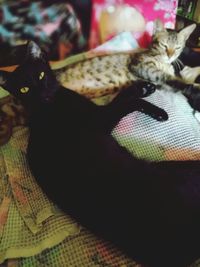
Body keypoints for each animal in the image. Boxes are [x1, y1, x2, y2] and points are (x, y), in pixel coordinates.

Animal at [1, 41, 200, 267]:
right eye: (24, 89)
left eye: (41, 75)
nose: (43, 94)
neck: (48, 105)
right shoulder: (102, 119)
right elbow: (125, 102)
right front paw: (153, 104)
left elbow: (123, 97)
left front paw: (144, 89)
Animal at [54, 19, 200, 110]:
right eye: (164, 45)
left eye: (177, 47)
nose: (170, 55)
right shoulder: (141, 66)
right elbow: (170, 78)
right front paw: (191, 87)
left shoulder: (160, 84)